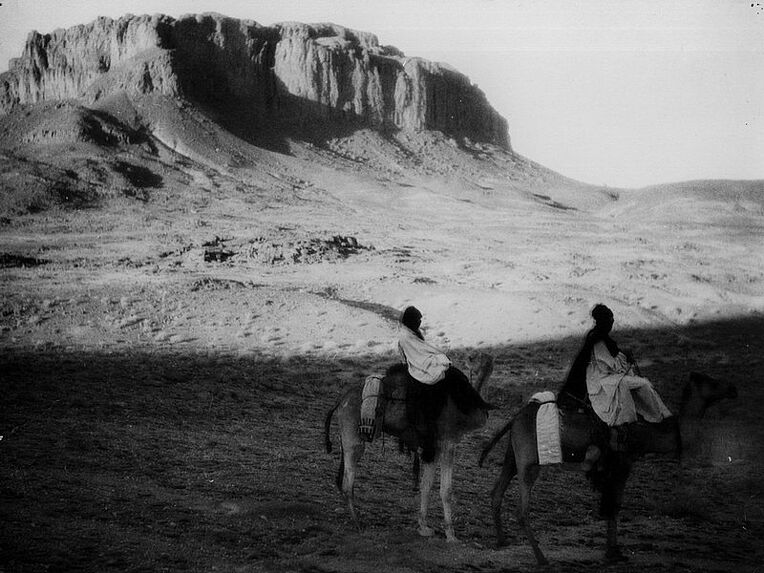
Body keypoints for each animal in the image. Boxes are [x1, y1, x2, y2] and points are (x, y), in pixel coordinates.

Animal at [324, 350, 496, 544]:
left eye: (478, 358)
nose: (468, 358)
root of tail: (341, 400)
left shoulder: (433, 446)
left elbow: (426, 485)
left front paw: (424, 527)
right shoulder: (448, 442)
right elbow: (446, 490)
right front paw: (451, 536)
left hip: (346, 435)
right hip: (353, 435)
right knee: (348, 481)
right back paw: (358, 523)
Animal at [480, 370, 736, 564]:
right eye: (711, 382)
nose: (732, 388)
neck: (646, 432)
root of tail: (515, 418)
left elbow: (613, 505)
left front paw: (615, 551)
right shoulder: (622, 464)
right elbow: (614, 506)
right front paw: (613, 553)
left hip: (513, 456)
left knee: (496, 492)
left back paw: (502, 540)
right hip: (529, 462)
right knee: (521, 509)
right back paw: (541, 558)